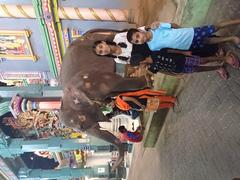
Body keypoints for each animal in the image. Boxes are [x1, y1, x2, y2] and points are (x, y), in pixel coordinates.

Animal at [59, 28, 147, 171]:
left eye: (82, 119)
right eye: (80, 130)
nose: (113, 168)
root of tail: (81, 37)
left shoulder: (94, 80)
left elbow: (118, 83)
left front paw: (147, 80)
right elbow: (115, 93)